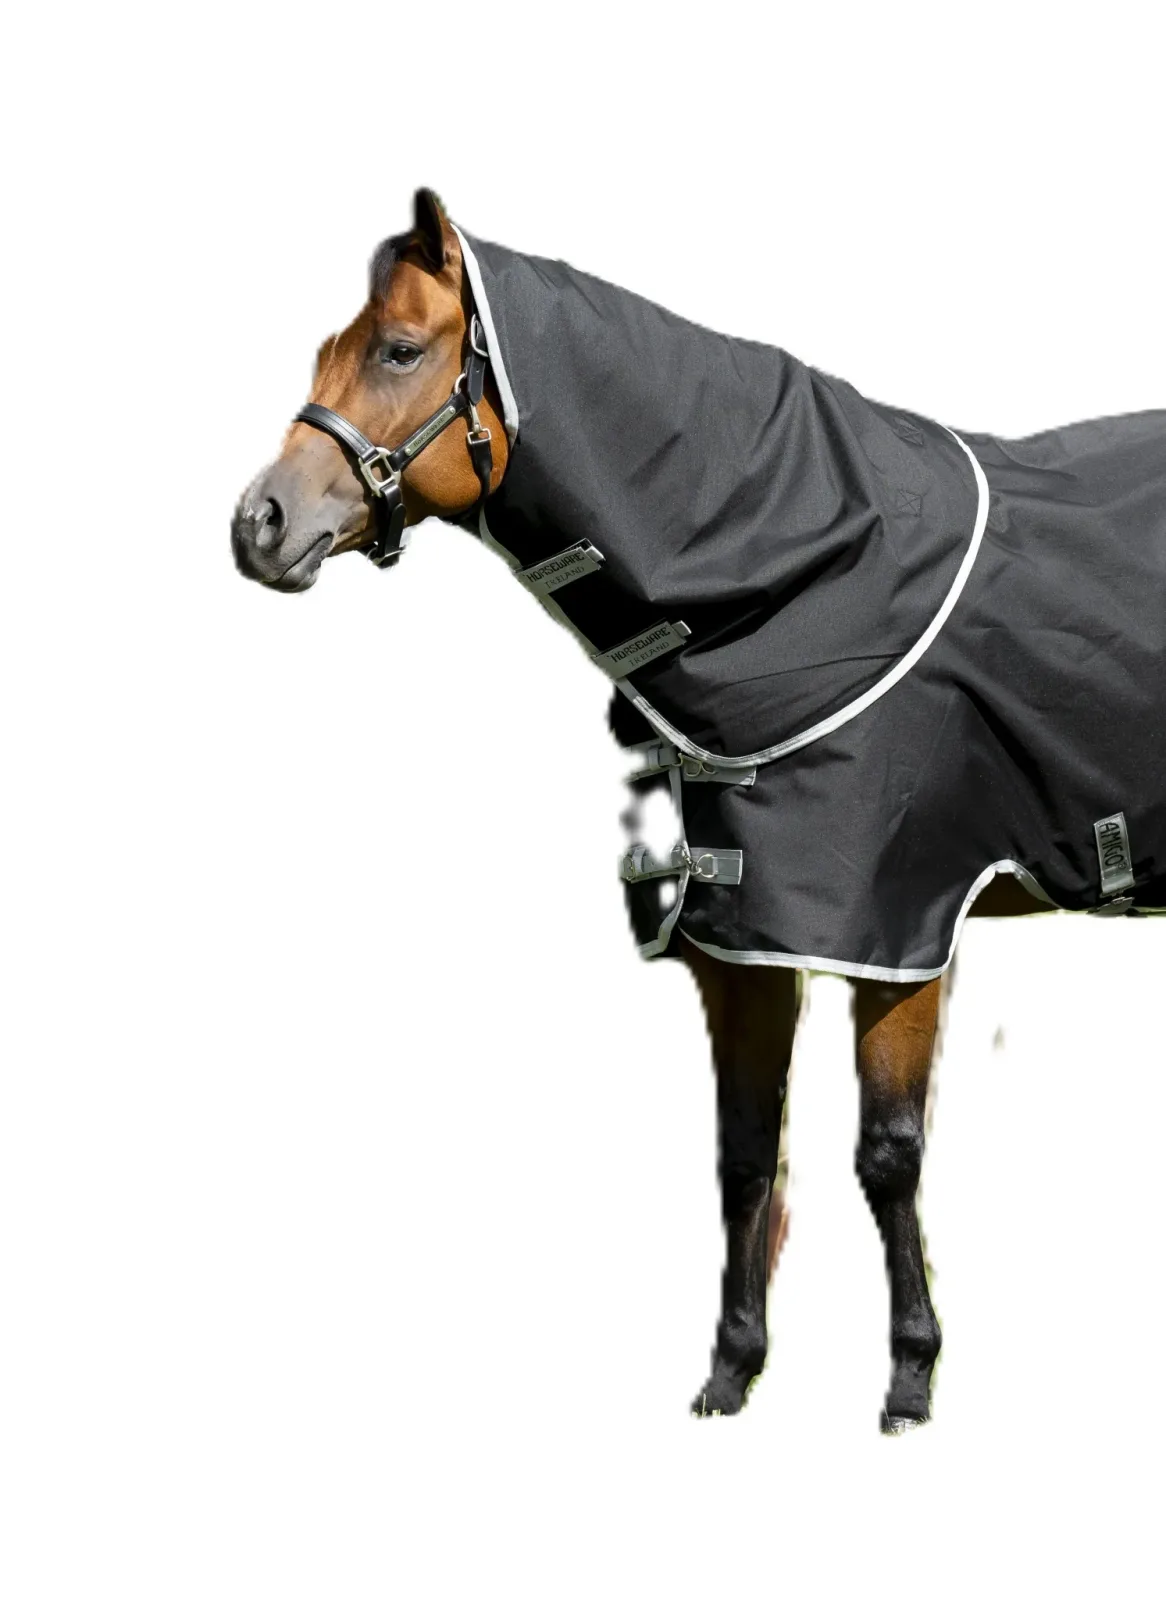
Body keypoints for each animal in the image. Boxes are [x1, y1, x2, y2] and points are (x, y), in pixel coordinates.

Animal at [232, 188, 1164, 1430]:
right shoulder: (746, 943)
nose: (258, 524)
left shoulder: (897, 929)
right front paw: (731, 1368)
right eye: (326, 350)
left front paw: (909, 1376)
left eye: (397, 349)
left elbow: (887, 1154)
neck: (819, 582)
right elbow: (744, 1153)